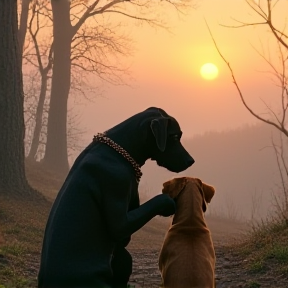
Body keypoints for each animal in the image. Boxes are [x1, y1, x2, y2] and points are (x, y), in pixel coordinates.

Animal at [37, 107, 194, 288]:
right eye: (174, 136)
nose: (191, 161)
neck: (120, 151)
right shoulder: (120, 209)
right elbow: (156, 202)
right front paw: (169, 202)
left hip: (123, 258)